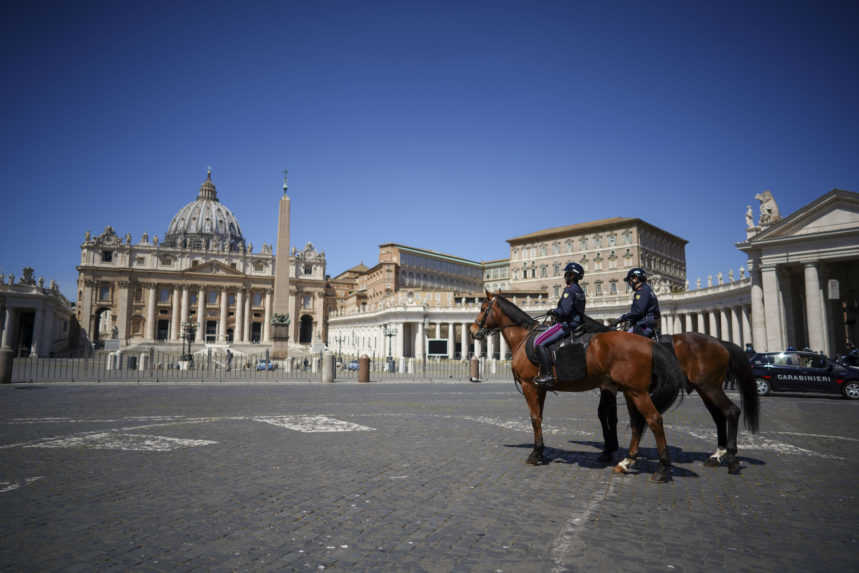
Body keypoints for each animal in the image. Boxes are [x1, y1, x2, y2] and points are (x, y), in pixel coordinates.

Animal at [470, 290, 684, 482]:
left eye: (482, 308)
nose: (472, 331)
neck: (523, 338)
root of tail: (649, 343)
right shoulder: (541, 387)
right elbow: (539, 417)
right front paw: (540, 452)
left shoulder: (529, 385)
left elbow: (534, 418)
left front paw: (535, 454)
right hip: (631, 391)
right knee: (637, 422)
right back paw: (625, 462)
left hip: (637, 392)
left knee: (653, 419)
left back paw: (662, 470)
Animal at [596, 326, 760, 474]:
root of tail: (721, 343)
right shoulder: (619, 389)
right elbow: (609, 414)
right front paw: (612, 451)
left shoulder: (623, 388)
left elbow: (611, 415)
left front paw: (613, 452)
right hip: (705, 389)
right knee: (719, 416)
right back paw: (716, 456)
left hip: (710, 386)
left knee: (732, 411)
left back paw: (732, 459)